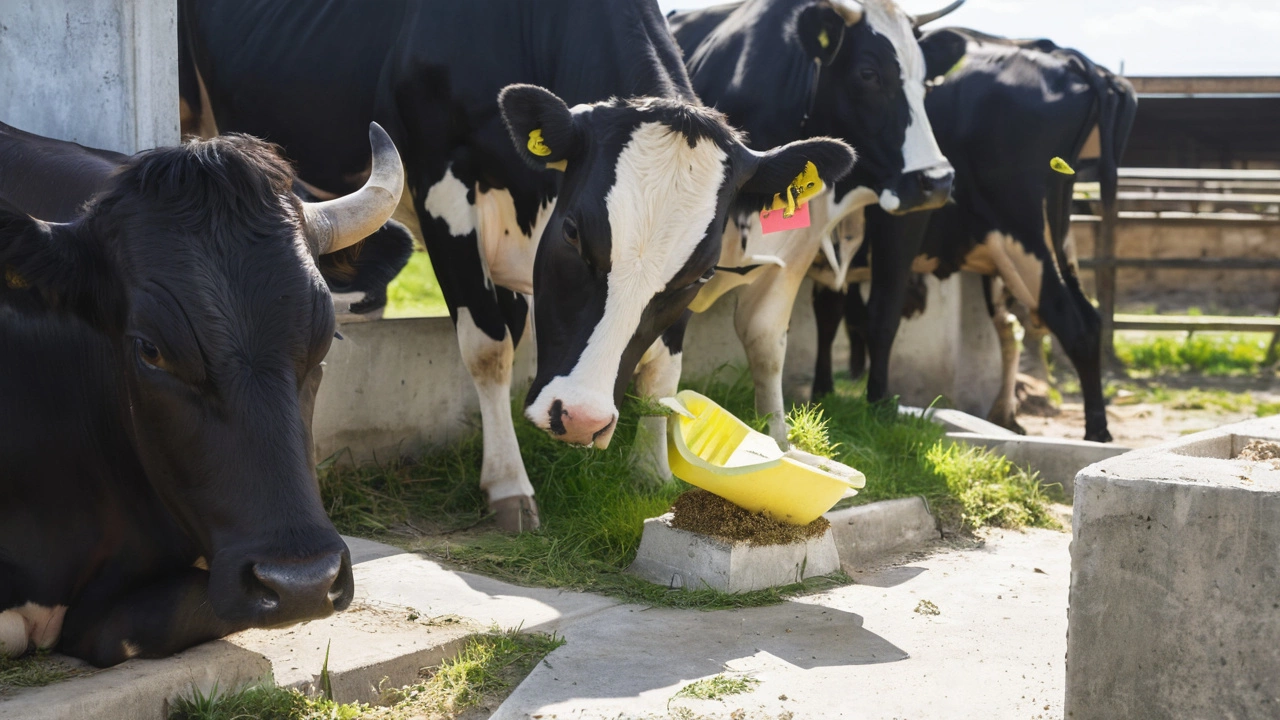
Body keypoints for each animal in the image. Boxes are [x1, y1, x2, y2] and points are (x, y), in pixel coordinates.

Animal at [177, 0, 860, 527]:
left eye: (699, 273)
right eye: (575, 233)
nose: (581, 420)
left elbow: (663, 373)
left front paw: (651, 473)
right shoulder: (443, 184)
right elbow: (489, 347)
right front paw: (509, 487)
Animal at [619, 0, 962, 476]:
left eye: (927, 80)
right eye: (868, 73)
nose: (936, 182)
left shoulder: (800, 255)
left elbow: (772, 342)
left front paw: (781, 443)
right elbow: (661, 355)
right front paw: (649, 467)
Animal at [814, 28, 1136, 440]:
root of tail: (1064, 56)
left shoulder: (892, 228)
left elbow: (869, 315)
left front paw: (861, 401)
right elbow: (827, 314)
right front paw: (822, 392)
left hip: (1022, 237)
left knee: (1069, 322)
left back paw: (1094, 431)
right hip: (1047, 239)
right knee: (1057, 323)